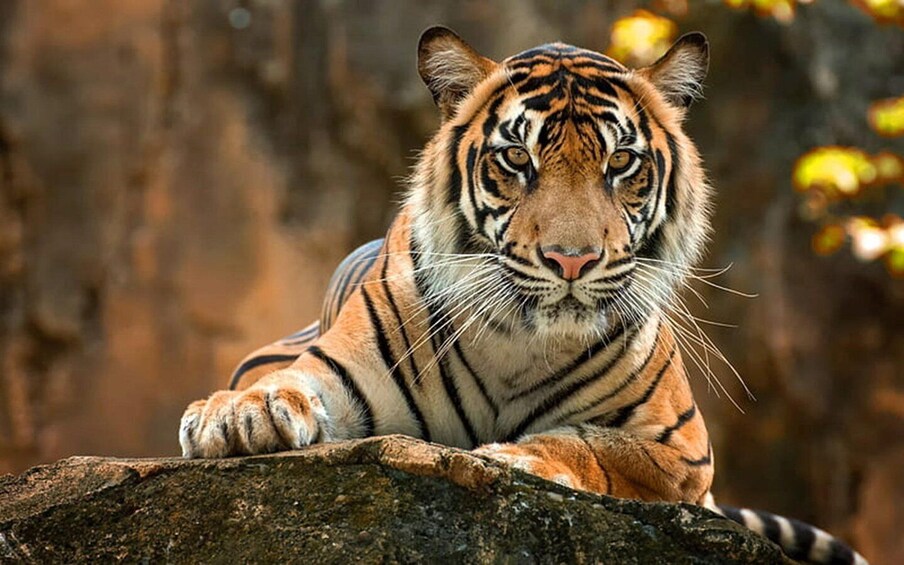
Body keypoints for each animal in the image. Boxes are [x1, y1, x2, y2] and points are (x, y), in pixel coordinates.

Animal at [179, 27, 867, 565]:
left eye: (621, 162)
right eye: (516, 158)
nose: (572, 259)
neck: (520, 342)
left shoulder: (683, 450)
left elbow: (594, 444)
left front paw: (516, 460)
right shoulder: (337, 370)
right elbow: (286, 386)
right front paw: (237, 415)